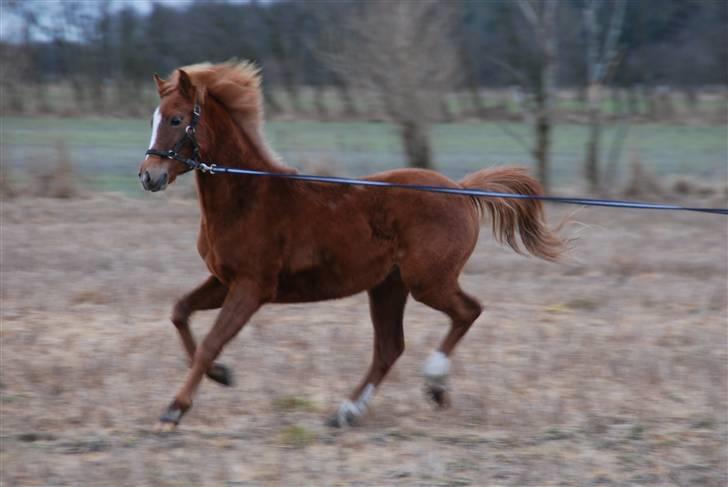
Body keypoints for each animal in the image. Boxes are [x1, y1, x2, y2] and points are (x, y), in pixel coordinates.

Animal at [139, 61, 564, 430]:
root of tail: (460, 190)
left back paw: (435, 383)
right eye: (153, 119)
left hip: (427, 281)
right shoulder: (223, 281)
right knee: (390, 348)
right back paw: (346, 412)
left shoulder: (252, 286)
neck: (249, 197)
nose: (148, 176)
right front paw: (222, 375)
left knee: (467, 312)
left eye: (177, 119)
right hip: (388, 287)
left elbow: (212, 341)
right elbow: (180, 312)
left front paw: (173, 410)